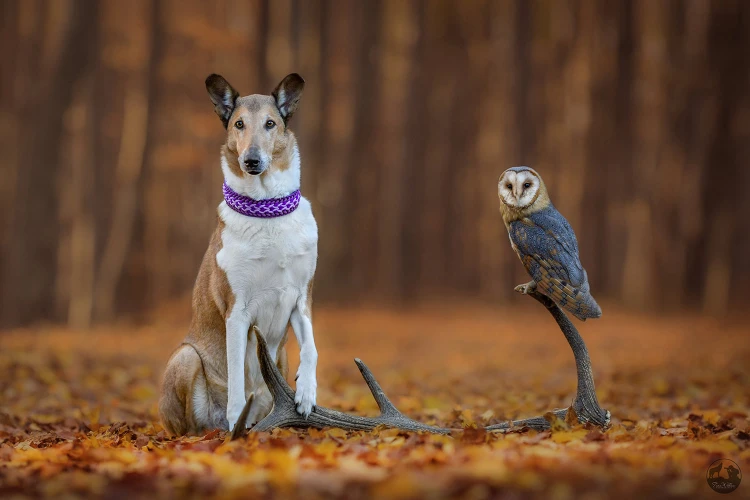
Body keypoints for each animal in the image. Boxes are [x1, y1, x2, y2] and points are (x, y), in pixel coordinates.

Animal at [160, 73, 318, 434]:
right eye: (239, 124)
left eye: (270, 123)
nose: (252, 160)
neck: (267, 212)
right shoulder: (237, 310)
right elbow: (236, 377)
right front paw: (236, 421)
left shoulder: (301, 298)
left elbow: (312, 349)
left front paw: (306, 394)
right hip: (186, 357)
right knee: (191, 425)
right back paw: (220, 428)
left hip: (280, 359)